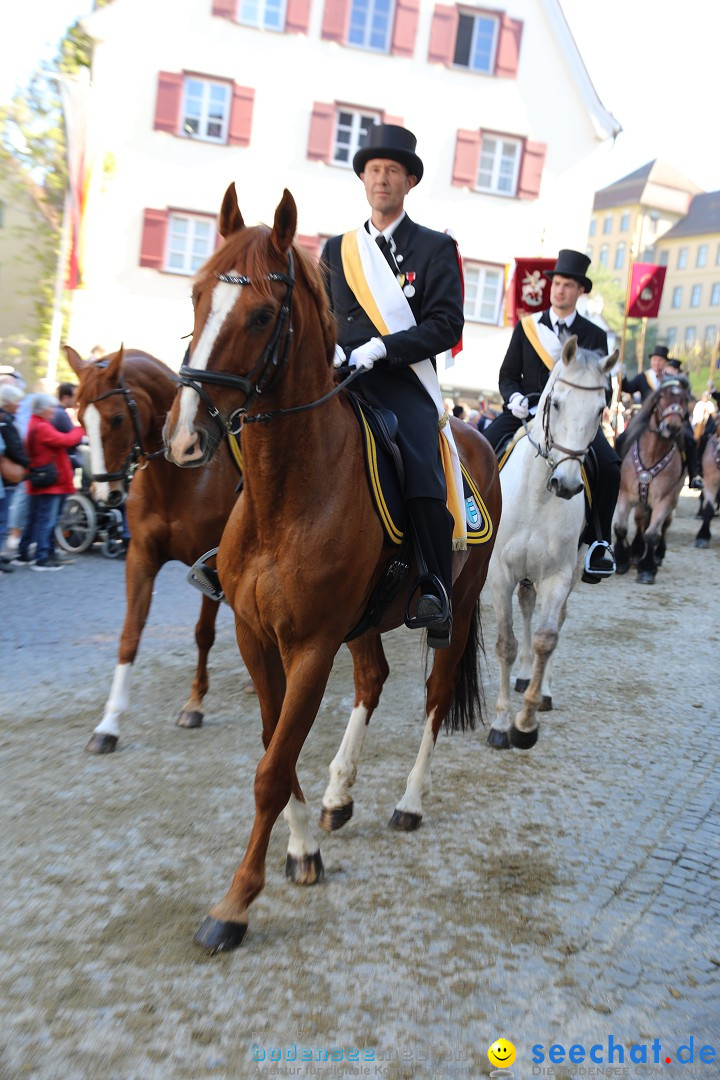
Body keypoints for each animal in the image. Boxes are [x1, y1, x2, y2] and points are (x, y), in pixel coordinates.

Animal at [64, 345, 240, 751]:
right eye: (80, 418)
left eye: (115, 419)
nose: (105, 493)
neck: (177, 478)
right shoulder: (141, 559)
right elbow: (130, 637)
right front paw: (108, 725)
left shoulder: (210, 564)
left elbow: (203, 634)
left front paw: (194, 705)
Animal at [162, 187, 500, 954]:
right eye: (195, 294)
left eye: (262, 314)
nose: (184, 437)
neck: (284, 495)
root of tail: (473, 430)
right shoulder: (256, 637)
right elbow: (274, 748)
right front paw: (301, 850)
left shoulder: (311, 645)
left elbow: (272, 767)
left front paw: (235, 904)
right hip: (367, 618)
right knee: (373, 680)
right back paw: (340, 794)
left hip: (458, 606)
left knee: (435, 695)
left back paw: (408, 801)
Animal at [487, 336, 617, 751]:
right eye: (555, 402)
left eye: (601, 409)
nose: (568, 485)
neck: (537, 497)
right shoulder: (500, 574)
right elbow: (506, 643)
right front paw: (501, 723)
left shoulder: (558, 576)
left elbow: (547, 638)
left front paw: (525, 724)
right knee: (528, 607)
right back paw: (525, 674)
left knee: (553, 620)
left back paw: (540, 687)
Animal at [617, 380, 690, 583]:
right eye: (661, 397)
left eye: (684, 399)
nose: (672, 427)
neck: (653, 453)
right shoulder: (624, 494)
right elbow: (620, 528)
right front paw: (622, 561)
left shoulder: (664, 499)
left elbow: (652, 534)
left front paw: (647, 569)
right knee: (640, 520)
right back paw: (635, 552)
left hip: (673, 498)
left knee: (663, 525)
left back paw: (656, 555)